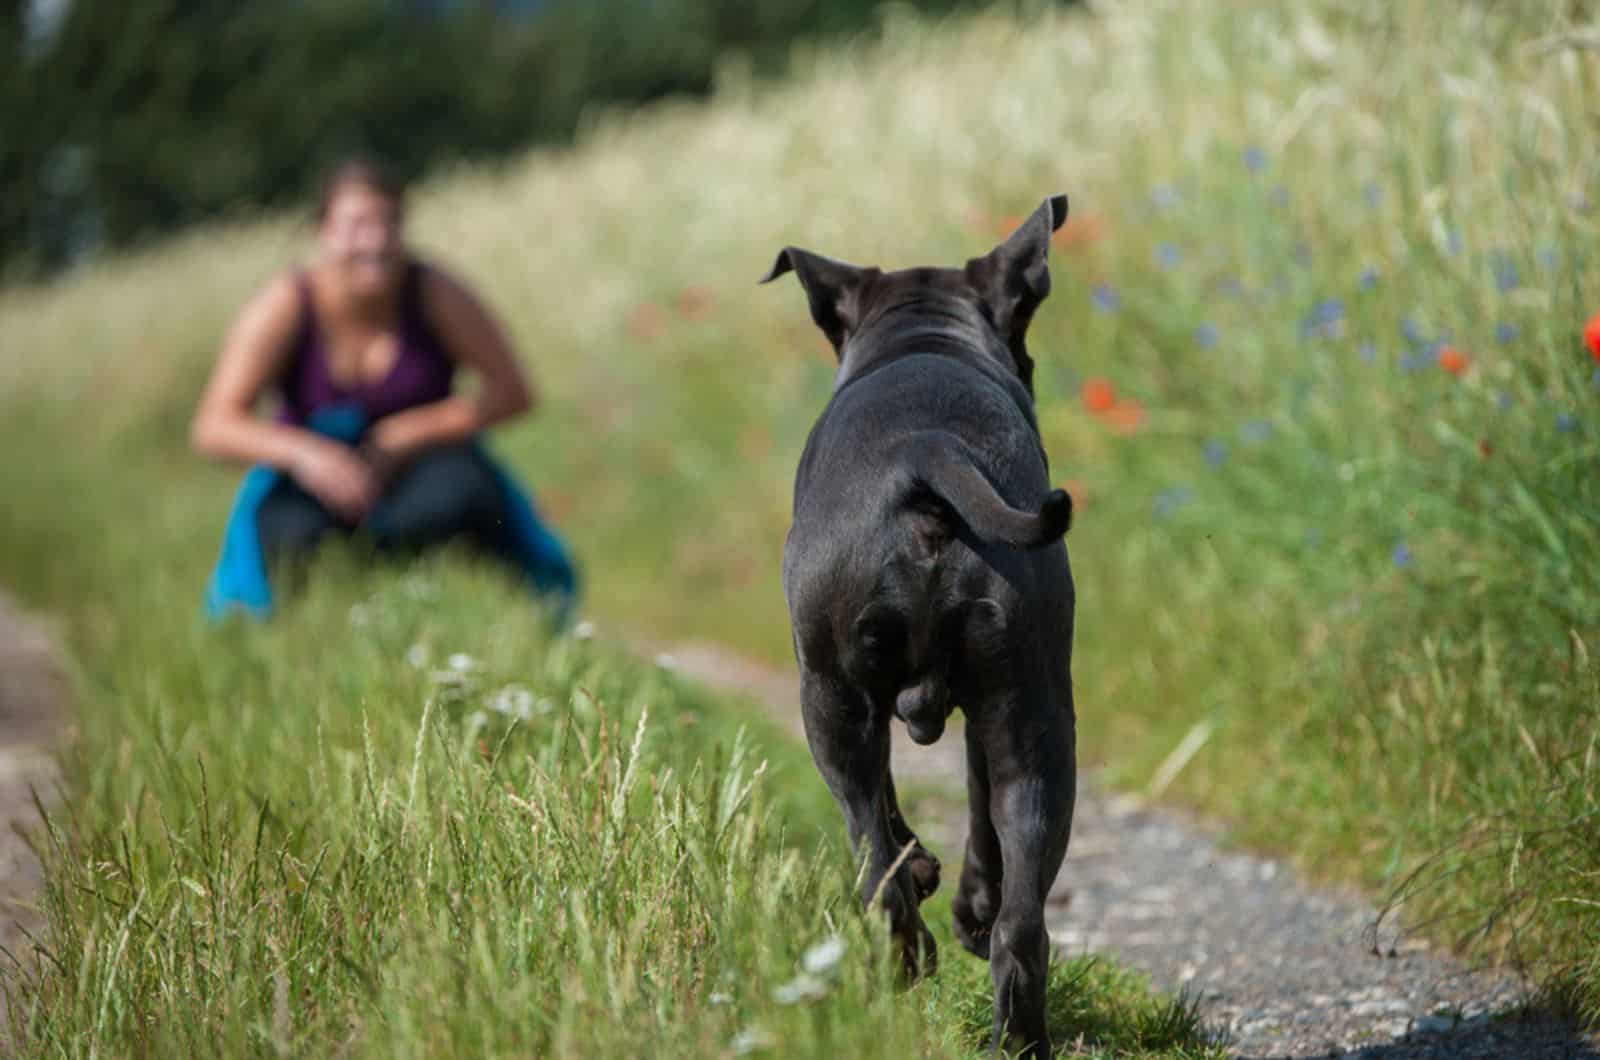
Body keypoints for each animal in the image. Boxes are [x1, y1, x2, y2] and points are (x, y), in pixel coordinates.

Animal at [761, 196, 1075, 1056]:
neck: (925, 336)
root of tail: (926, 451)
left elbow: (891, 815)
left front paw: (934, 876)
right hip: (1032, 715)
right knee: (1021, 921)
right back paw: (1014, 1026)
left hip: (828, 699)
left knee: (876, 861)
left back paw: (910, 964)